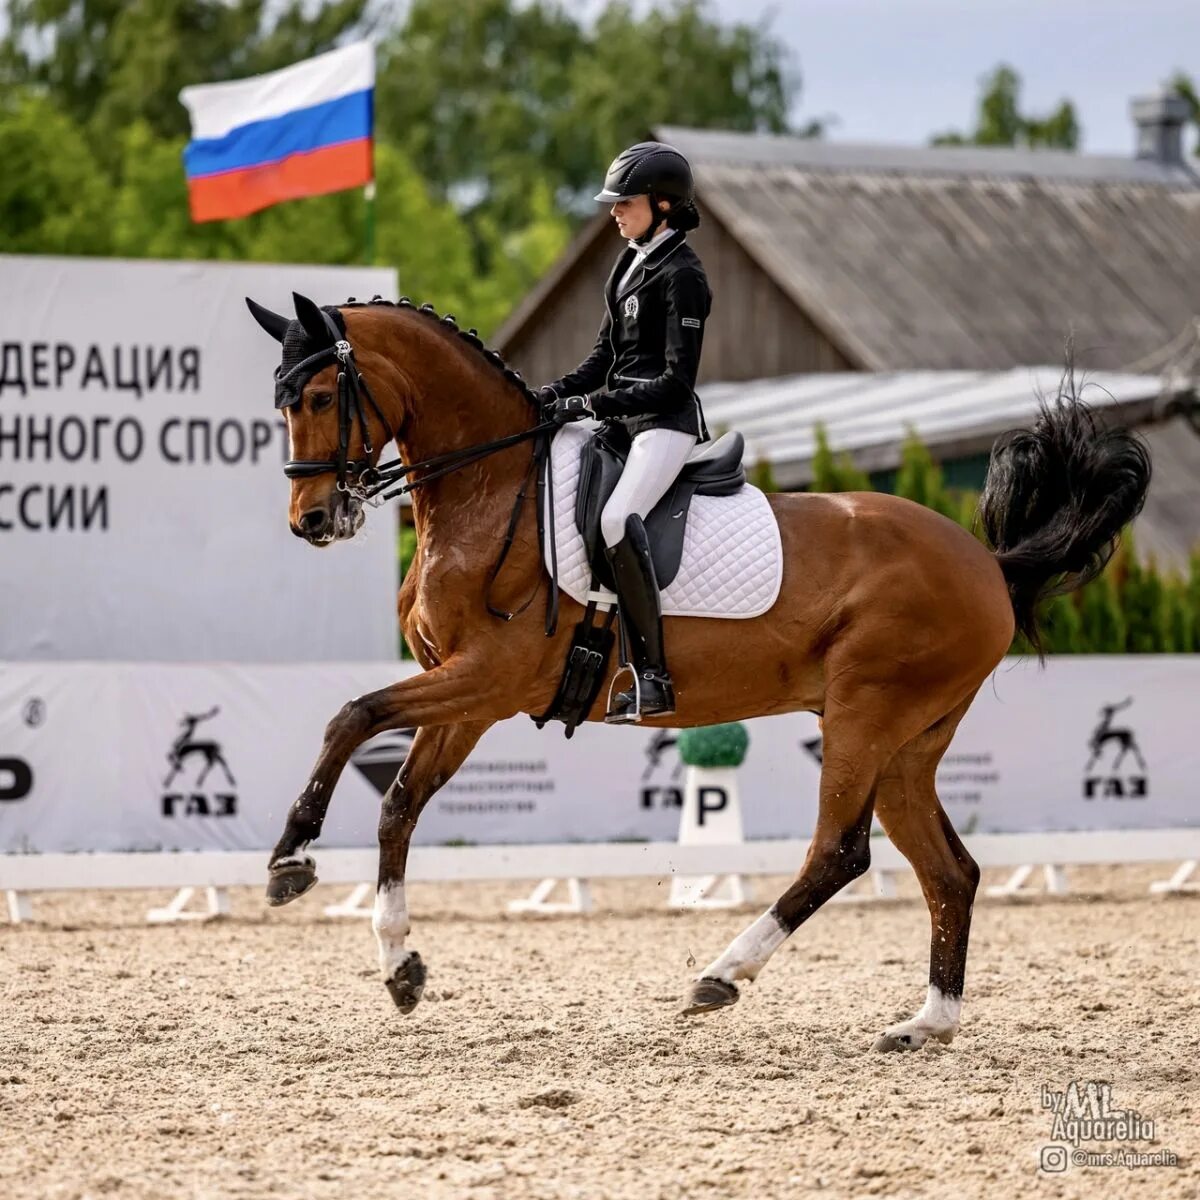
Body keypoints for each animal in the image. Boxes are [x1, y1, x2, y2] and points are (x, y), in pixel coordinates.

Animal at [246, 290, 1152, 1051]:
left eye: (321, 398)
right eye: (281, 403)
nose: (312, 521)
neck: (489, 487)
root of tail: (988, 563)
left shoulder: (488, 679)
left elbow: (354, 715)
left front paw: (291, 858)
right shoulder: (467, 700)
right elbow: (398, 804)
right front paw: (399, 965)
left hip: (866, 715)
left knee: (840, 853)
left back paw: (722, 975)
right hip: (908, 743)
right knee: (948, 871)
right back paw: (925, 1024)